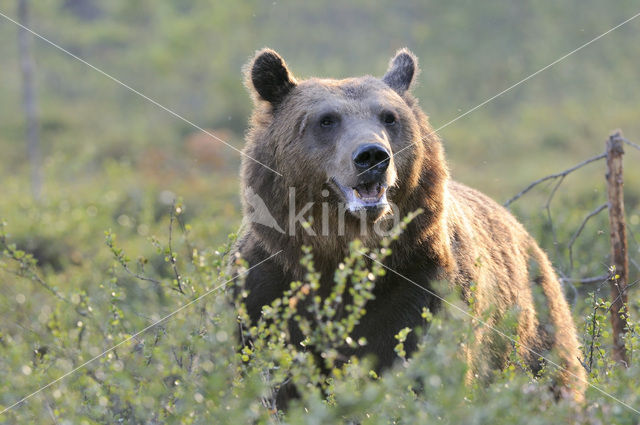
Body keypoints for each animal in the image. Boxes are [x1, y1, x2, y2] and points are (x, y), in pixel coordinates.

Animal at [234, 48, 584, 402]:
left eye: (389, 117)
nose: (372, 155)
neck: (337, 250)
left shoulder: (418, 280)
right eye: (326, 120)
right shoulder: (266, 285)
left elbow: (416, 359)